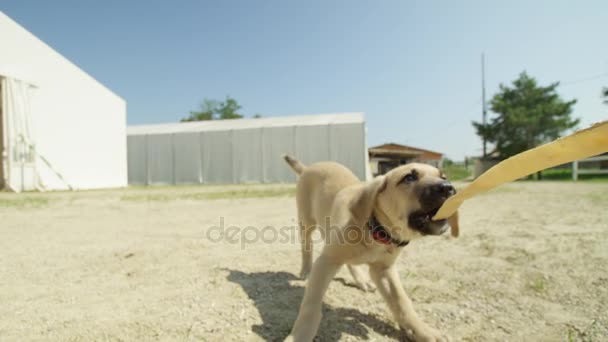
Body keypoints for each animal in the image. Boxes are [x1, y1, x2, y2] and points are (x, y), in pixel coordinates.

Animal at [282, 156, 458, 342]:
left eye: (443, 177)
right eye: (409, 177)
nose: (449, 188)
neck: (375, 230)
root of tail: (308, 168)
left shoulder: (383, 270)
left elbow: (401, 301)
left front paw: (420, 329)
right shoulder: (326, 261)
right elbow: (311, 305)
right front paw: (299, 335)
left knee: (349, 262)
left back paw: (361, 280)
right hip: (306, 222)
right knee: (306, 247)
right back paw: (305, 270)